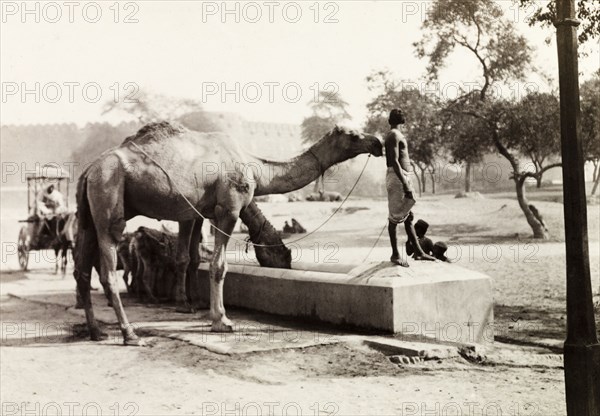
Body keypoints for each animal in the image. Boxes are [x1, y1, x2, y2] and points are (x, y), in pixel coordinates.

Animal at [72, 121, 382, 344]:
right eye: (353, 135)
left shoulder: (202, 211)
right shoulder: (228, 208)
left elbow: (195, 259)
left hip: (88, 211)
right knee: (107, 269)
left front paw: (198, 307)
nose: (378, 142)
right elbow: (219, 265)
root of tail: (88, 170)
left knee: (83, 270)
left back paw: (96, 332)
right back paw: (130, 334)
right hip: (108, 195)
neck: (256, 168)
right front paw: (221, 320)